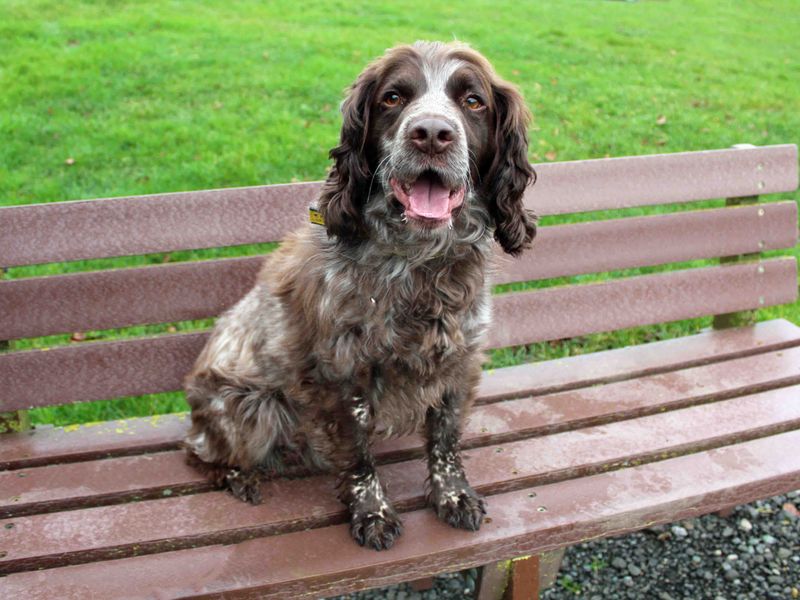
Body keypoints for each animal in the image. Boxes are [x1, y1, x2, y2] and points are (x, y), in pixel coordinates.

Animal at [180, 39, 532, 552]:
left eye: (472, 101)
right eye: (393, 98)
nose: (431, 134)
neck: (419, 264)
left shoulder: (460, 359)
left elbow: (446, 439)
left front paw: (453, 495)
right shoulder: (342, 373)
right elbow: (359, 458)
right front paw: (373, 513)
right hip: (253, 409)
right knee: (198, 452)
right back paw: (240, 478)